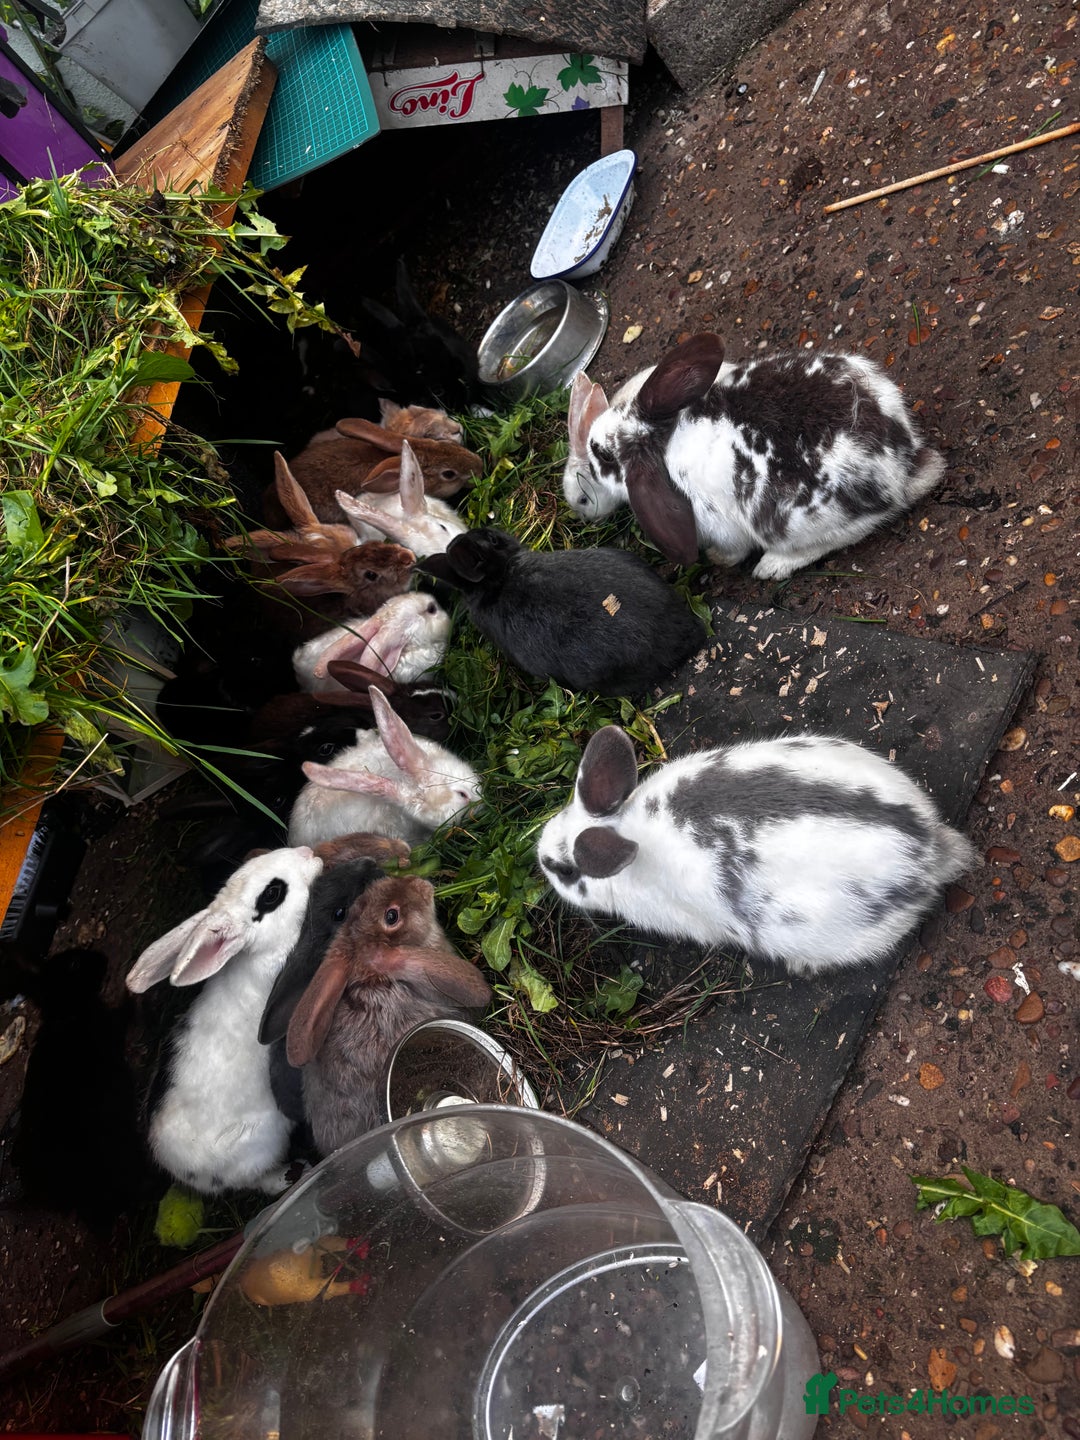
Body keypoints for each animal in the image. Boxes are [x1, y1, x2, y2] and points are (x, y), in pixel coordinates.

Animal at [125, 846, 324, 1195]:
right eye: (272, 893)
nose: (308, 852)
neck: (259, 954)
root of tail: (179, 1170)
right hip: (258, 1154)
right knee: (261, 1180)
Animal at [561, 333, 946, 579]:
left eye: (601, 455)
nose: (580, 517)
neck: (662, 442)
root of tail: (900, 469)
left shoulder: (720, 527)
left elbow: (732, 550)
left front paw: (717, 559)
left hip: (791, 524)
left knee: (845, 535)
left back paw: (771, 567)